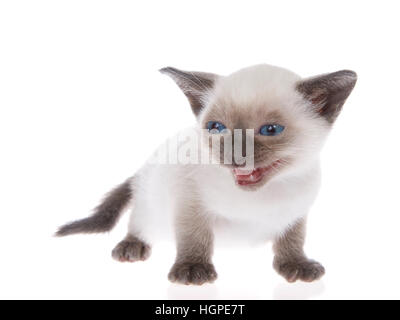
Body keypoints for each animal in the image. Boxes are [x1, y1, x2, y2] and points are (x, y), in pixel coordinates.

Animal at [55, 64, 356, 284]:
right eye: (216, 127)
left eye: (270, 130)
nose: (236, 156)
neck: (256, 197)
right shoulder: (189, 202)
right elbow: (194, 235)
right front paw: (191, 269)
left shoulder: (296, 211)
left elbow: (293, 239)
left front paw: (295, 265)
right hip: (151, 200)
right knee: (139, 221)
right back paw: (132, 247)